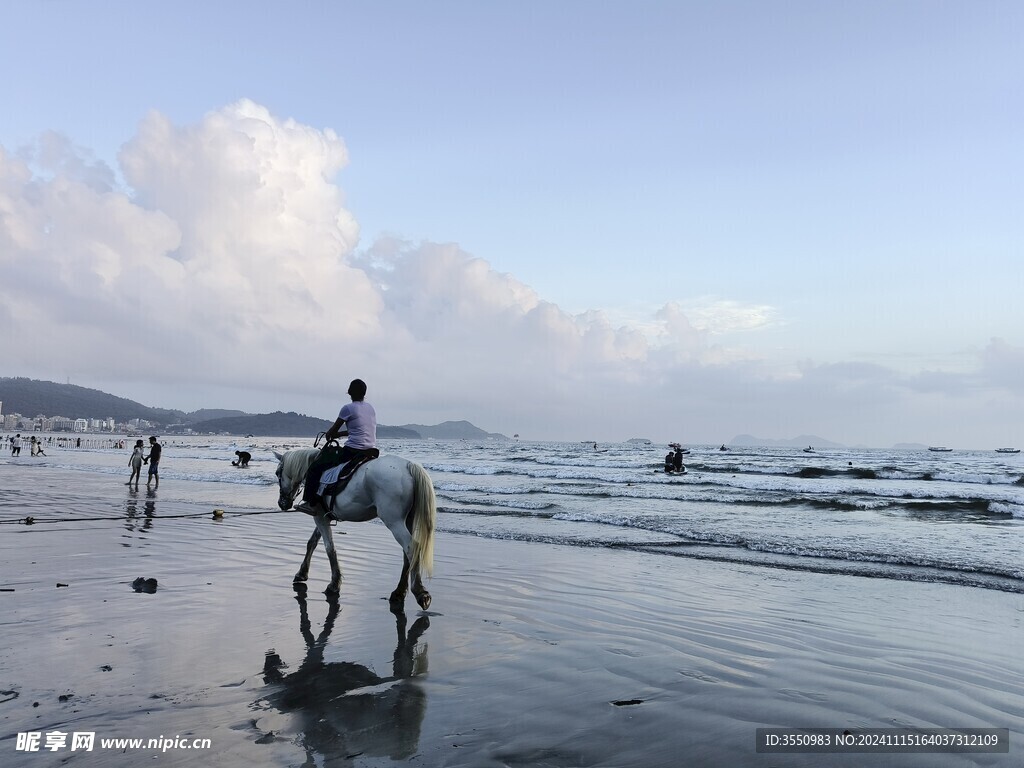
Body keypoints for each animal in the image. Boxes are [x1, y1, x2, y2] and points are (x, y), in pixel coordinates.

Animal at [274, 448, 434, 610]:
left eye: (277, 473)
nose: (282, 503)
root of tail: (408, 466)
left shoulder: (319, 517)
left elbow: (329, 548)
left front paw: (334, 584)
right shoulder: (323, 516)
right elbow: (312, 542)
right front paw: (302, 573)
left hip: (394, 521)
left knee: (411, 547)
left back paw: (420, 591)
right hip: (408, 520)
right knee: (407, 553)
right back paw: (399, 592)